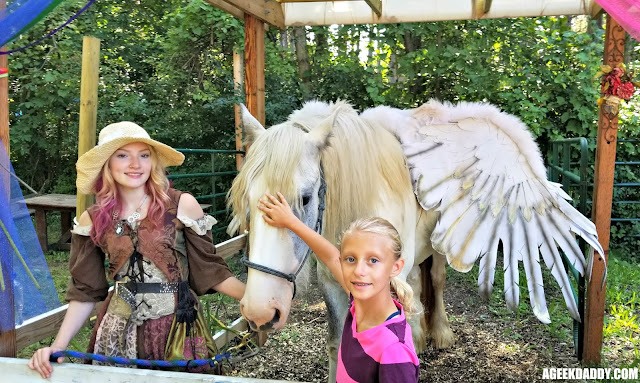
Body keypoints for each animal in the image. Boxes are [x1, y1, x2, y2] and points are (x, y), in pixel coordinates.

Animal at [228, 100, 604, 382]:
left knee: (434, 282)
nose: (259, 311)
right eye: (246, 200)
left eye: (305, 198)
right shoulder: (333, 284)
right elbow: (339, 343)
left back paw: (439, 333)